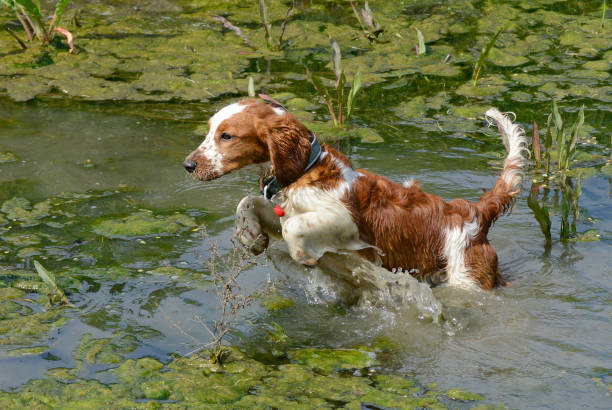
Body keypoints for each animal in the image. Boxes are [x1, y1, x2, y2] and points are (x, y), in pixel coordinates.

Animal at [184, 98, 528, 292]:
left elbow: (294, 228)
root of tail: (476, 212)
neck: (306, 171)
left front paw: (304, 256)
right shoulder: (285, 208)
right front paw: (251, 236)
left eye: (227, 136)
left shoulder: (345, 221)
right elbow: (251, 204)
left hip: (467, 281)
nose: (188, 165)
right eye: (210, 130)